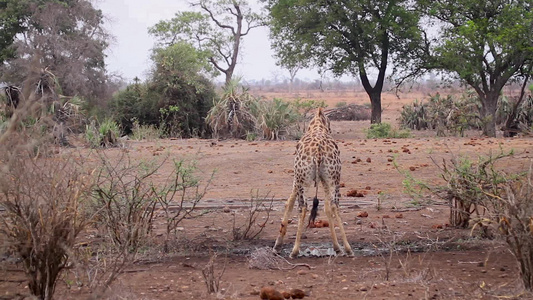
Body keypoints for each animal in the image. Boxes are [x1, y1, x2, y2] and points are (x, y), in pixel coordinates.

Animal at [274, 107, 354, 258]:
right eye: (329, 121)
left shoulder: (297, 179)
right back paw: (347, 249)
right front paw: (336, 247)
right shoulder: (321, 178)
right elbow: (327, 207)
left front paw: (277, 246)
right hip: (333, 177)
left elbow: (289, 203)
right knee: (333, 204)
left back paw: (294, 251)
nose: (331, 129)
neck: (316, 127)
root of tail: (318, 151)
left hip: (305, 180)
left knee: (303, 206)